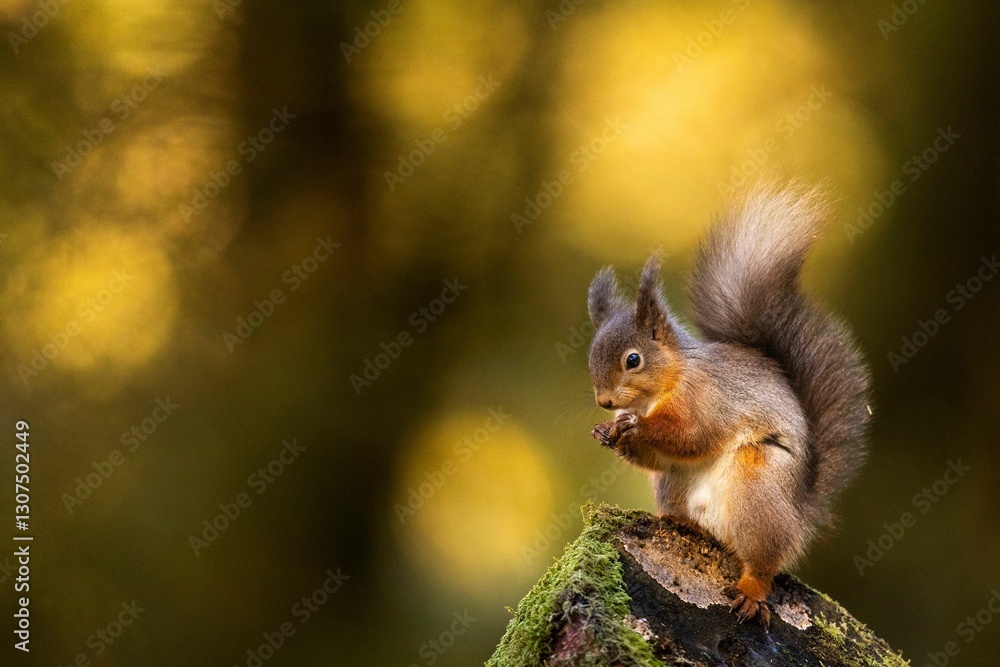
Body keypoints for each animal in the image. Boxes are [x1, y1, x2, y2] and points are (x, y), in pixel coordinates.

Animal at [586, 183, 871, 625]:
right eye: (591, 355)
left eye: (633, 360)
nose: (604, 402)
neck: (662, 389)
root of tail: (799, 517)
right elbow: (658, 456)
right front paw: (608, 432)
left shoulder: (708, 399)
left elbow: (692, 436)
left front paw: (636, 427)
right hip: (674, 485)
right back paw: (684, 524)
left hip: (757, 490)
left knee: (763, 563)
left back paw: (752, 591)